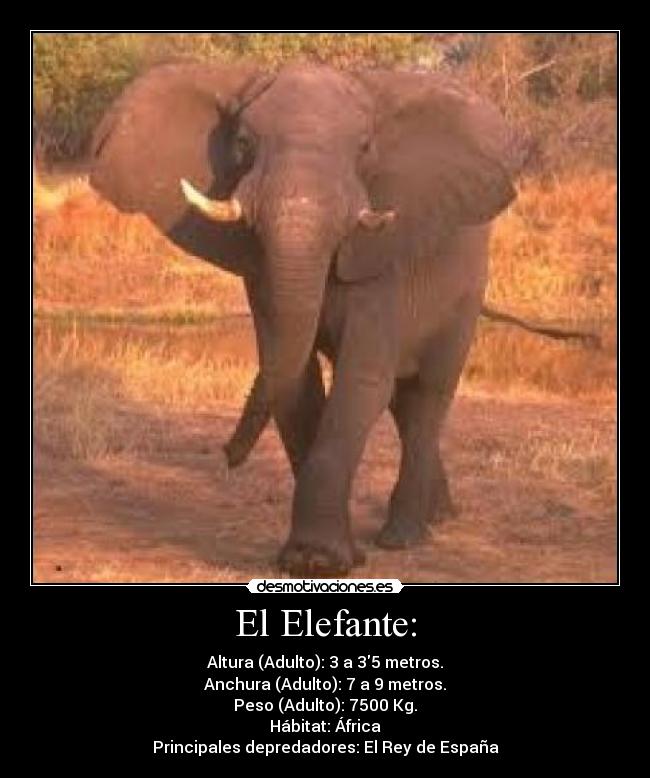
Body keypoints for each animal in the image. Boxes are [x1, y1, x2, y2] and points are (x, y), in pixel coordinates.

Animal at [89, 61, 559, 575]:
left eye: (364, 148)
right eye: (243, 143)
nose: (226, 456)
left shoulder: (384, 259)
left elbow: (360, 380)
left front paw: (319, 561)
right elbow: (297, 381)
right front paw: (327, 556)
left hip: (465, 295)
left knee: (429, 394)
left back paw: (405, 537)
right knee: (403, 403)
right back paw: (440, 516)